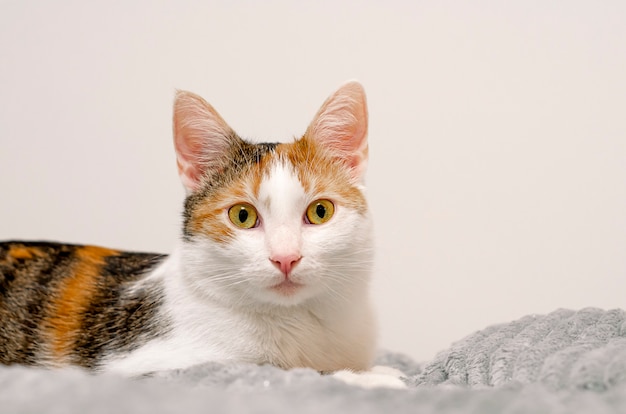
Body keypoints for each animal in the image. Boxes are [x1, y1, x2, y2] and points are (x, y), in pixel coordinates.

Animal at [0, 81, 404, 388]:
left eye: (320, 211)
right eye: (242, 215)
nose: (286, 257)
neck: (304, 320)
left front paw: (369, 369)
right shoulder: (153, 367)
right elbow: (279, 370)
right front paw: (368, 377)